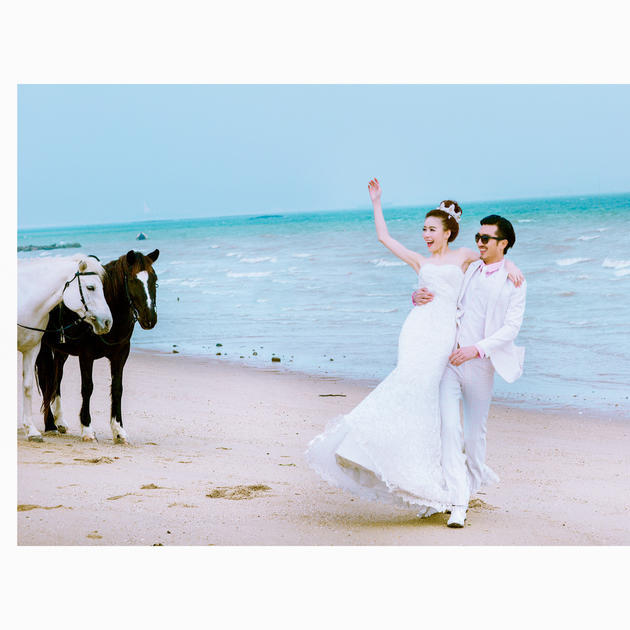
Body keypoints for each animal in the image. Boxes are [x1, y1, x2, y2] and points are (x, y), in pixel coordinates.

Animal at [36, 249, 159, 443]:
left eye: (154, 279)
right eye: (133, 280)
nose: (150, 319)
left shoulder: (120, 355)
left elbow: (117, 389)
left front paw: (119, 430)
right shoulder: (86, 356)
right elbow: (87, 388)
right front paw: (87, 429)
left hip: (61, 351)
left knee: (56, 379)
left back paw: (60, 421)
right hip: (43, 347)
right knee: (45, 379)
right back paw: (50, 425)